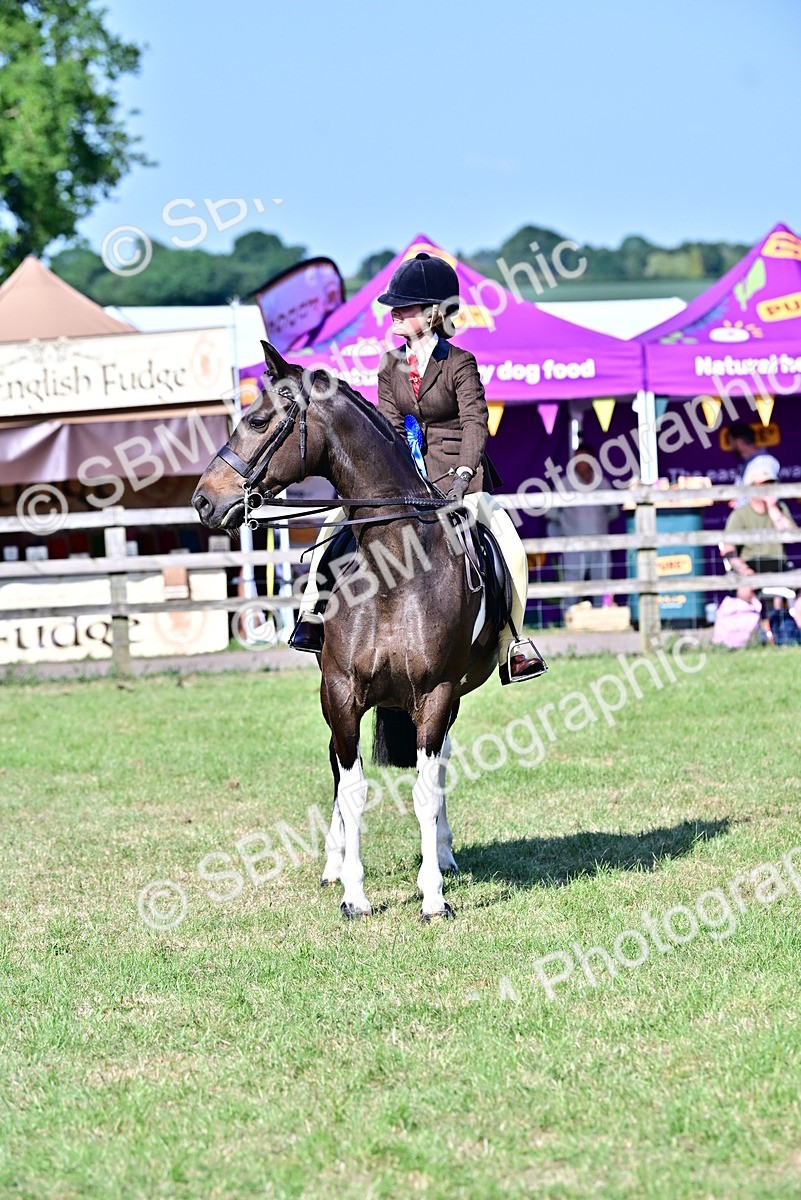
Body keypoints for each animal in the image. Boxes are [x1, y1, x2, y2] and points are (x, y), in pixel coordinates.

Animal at [193, 341, 509, 921]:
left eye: (257, 420)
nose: (203, 500)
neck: (396, 564)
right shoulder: (340, 691)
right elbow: (353, 788)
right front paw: (353, 892)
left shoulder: (436, 693)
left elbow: (425, 789)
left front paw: (433, 896)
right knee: (341, 772)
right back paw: (333, 865)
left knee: (440, 768)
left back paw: (444, 855)